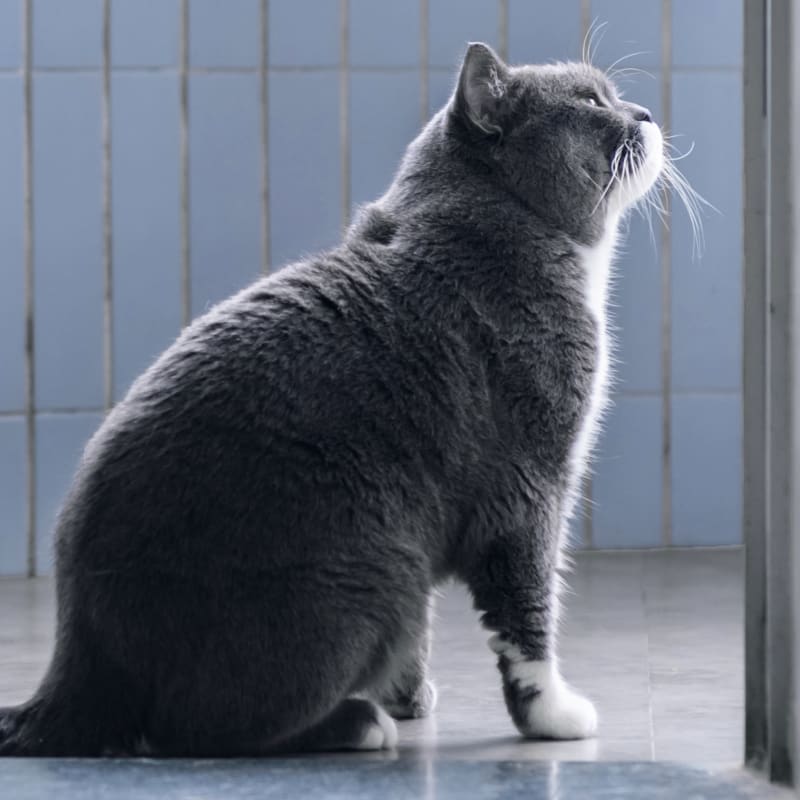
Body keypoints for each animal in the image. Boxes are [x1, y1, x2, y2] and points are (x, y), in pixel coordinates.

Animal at [1, 43, 668, 756]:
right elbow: (526, 610)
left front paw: (411, 695)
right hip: (376, 565)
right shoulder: (528, 484)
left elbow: (426, 632)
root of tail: (76, 665)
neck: (489, 221)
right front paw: (552, 716)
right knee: (197, 727)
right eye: (592, 101)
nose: (647, 113)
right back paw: (356, 723)